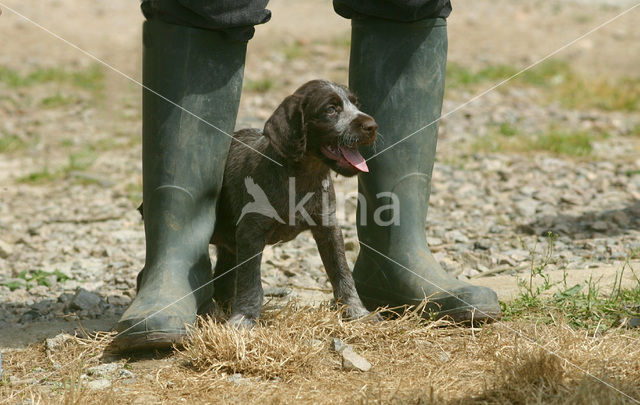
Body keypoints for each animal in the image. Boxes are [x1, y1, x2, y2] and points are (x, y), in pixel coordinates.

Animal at [212, 79, 378, 328]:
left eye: (356, 105)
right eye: (331, 109)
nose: (372, 126)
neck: (303, 177)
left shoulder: (328, 227)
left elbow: (342, 273)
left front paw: (356, 310)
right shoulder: (251, 233)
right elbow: (250, 282)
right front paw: (245, 317)